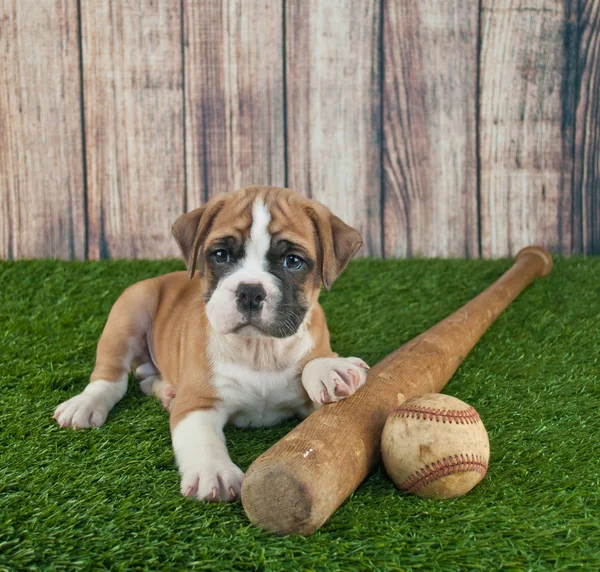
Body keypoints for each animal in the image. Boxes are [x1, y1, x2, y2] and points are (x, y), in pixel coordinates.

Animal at [54, 187, 368, 500]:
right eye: (221, 255)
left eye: (293, 260)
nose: (250, 292)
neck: (260, 350)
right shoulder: (197, 404)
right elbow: (202, 439)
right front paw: (213, 471)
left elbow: (318, 363)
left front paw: (330, 369)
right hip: (129, 312)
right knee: (111, 378)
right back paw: (85, 404)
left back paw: (165, 392)